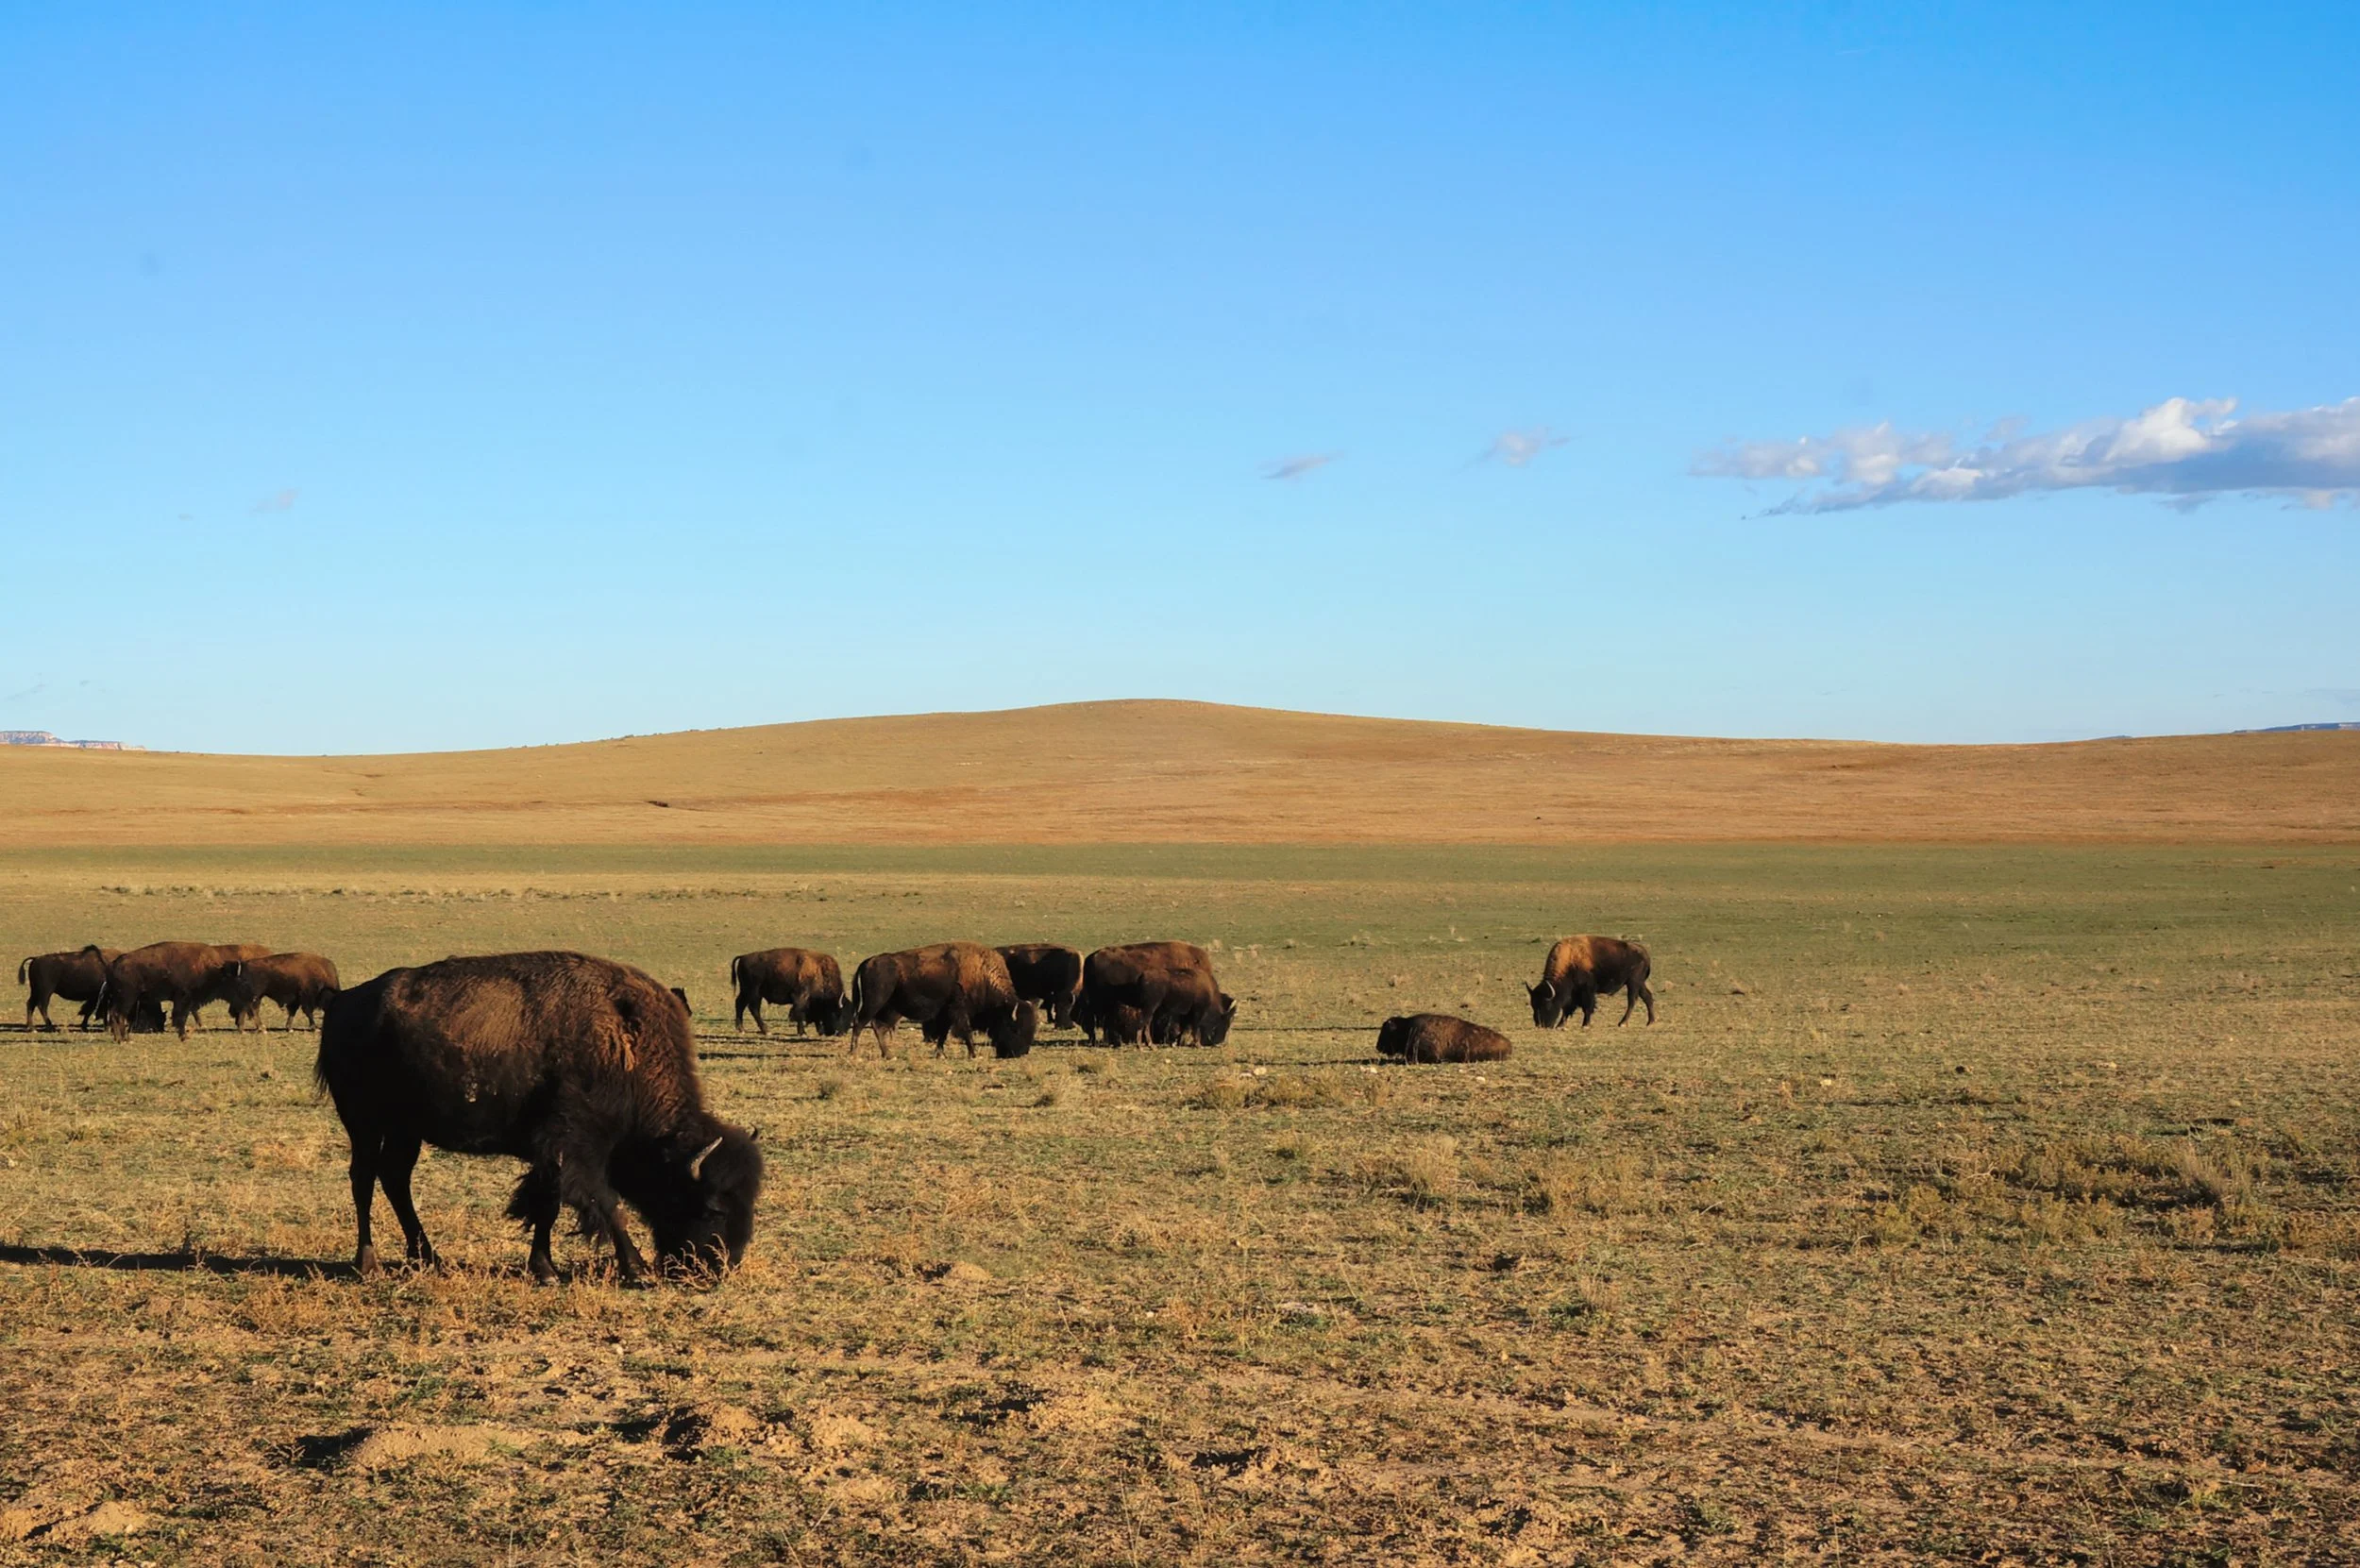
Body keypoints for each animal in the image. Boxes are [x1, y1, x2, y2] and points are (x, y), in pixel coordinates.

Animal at [316, 950, 763, 1283]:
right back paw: (368, 1263)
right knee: (363, 1179)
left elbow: (547, 1204)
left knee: (395, 1178)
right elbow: (605, 1203)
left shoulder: (550, 1154)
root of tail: (343, 1002)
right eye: (714, 1209)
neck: (624, 1043)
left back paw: (428, 1258)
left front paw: (544, 1269)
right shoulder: (575, 1146)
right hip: (363, 1123)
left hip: (404, 1129)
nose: (720, 1269)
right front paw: (635, 1268)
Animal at [844, 942, 1038, 1058]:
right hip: (875, 1002)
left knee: (878, 1026)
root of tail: (869, 961)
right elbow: (965, 1031)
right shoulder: (959, 1010)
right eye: (1015, 1028)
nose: (1021, 1052)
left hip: (891, 1008)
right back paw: (854, 1052)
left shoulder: (946, 1013)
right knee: (860, 1023)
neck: (981, 974)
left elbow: (943, 1033)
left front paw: (939, 1053)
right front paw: (973, 1054)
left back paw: (887, 1054)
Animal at [1528, 935, 1655, 1028]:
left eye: (1546, 1005)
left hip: (1633, 983)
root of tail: (1644, 953)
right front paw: (1560, 1025)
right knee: (1647, 997)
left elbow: (1587, 1006)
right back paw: (1650, 1022)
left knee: (1632, 1000)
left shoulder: (1587, 990)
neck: (1570, 959)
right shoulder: (1573, 992)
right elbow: (1567, 1008)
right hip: (1639, 983)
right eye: (1533, 1005)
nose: (1540, 1025)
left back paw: (1622, 1023)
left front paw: (1585, 1025)